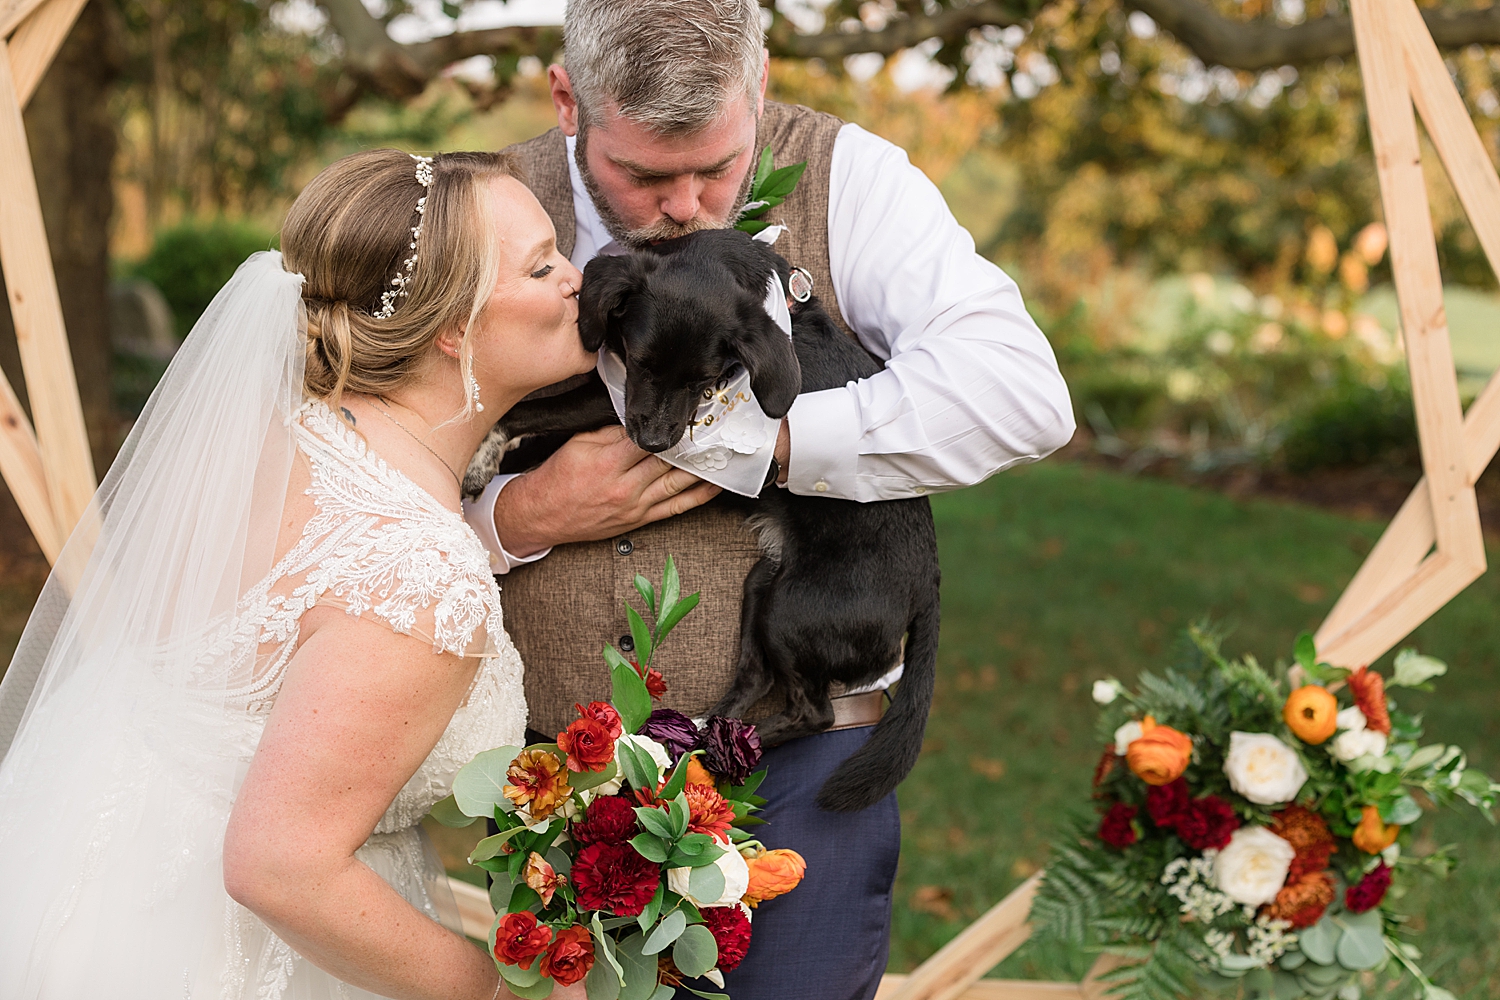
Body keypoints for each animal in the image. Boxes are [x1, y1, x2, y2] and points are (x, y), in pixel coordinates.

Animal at [465, 229, 936, 815]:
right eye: (641, 361)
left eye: (708, 381)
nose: (654, 444)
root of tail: (929, 584)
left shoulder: (610, 403)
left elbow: (526, 411)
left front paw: (482, 456)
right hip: (764, 586)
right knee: (756, 675)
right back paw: (702, 732)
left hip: (794, 611)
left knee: (815, 712)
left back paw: (712, 749)